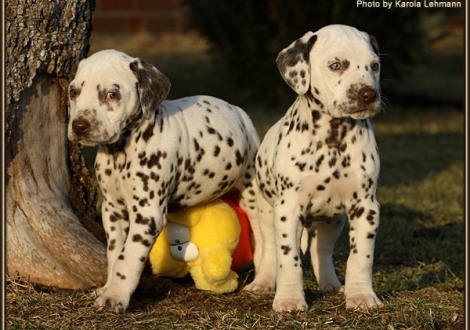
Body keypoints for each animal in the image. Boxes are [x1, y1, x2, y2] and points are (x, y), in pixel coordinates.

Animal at [68, 48, 260, 312]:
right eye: (73, 91)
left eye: (112, 94)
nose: (79, 126)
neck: (121, 151)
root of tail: (239, 112)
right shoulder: (112, 210)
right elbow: (114, 255)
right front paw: (108, 287)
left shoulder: (147, 215)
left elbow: (127, 259)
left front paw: (115, 296)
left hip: (253, 192)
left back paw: (266, 281)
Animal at [244, 25, 384, 312]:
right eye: (336, 65)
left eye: (375, 66)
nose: (369, 94)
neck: (333, 138)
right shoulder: (287, 209)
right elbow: (289, 259)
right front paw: (289, 298)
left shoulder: (366, 207)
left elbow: (361, 257)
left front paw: (361, 295)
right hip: (265, 212)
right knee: (272, 250)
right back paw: (262, 283)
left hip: (334, 220)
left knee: (322, 250)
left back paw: (331, 283)